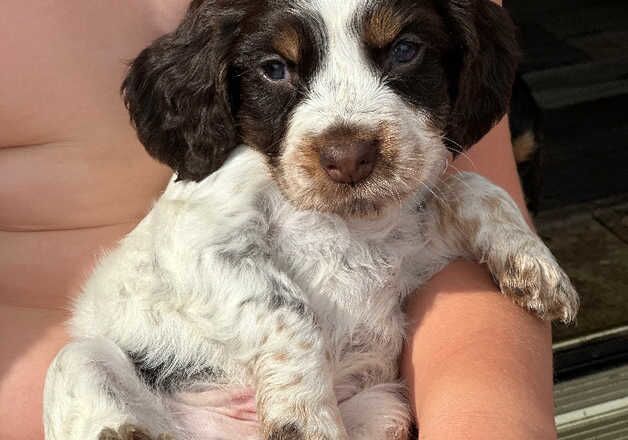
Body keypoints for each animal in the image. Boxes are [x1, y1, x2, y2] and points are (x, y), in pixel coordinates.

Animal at [41, 0, 576, 440]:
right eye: (274, 69)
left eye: (405, 50)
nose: (349, 157)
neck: (342, 222)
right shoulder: (199, 237)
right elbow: (287, 308)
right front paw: (303, 416)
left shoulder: (410, 244)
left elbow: (475, 189)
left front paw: (537, 269)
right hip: (85, 358)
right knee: (85, 371)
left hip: (386, 406)